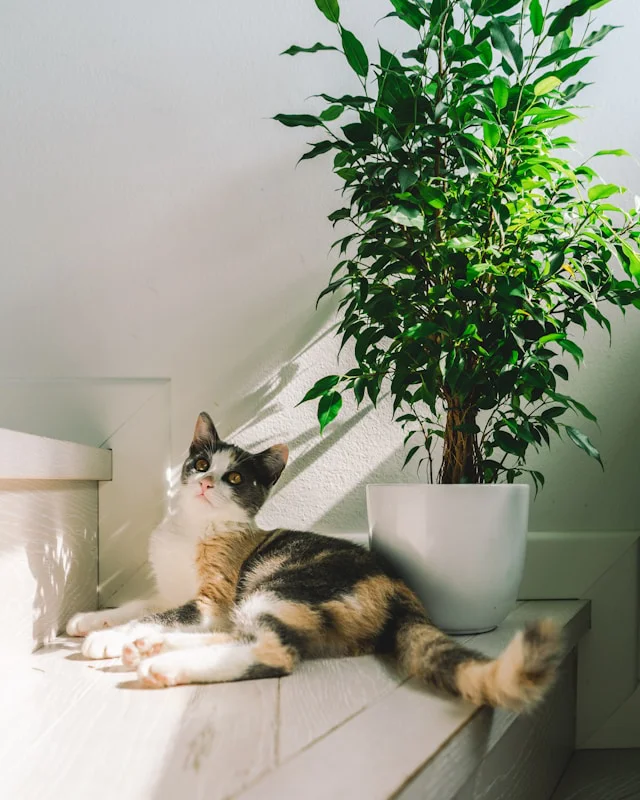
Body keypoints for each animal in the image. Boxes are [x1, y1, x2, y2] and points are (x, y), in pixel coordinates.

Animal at [66, 412, 560, 708]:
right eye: (202, 463)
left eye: (235, 478)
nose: (206, 483)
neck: (193, 528)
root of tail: (401, 589)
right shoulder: (173, 591)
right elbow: (142, 606)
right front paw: (91, 620)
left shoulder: (212, 600)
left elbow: (165, 614)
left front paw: (106, 638)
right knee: (247, 635)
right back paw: (151, 648)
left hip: (282, 586)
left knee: (274, 650)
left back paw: (161, 663)